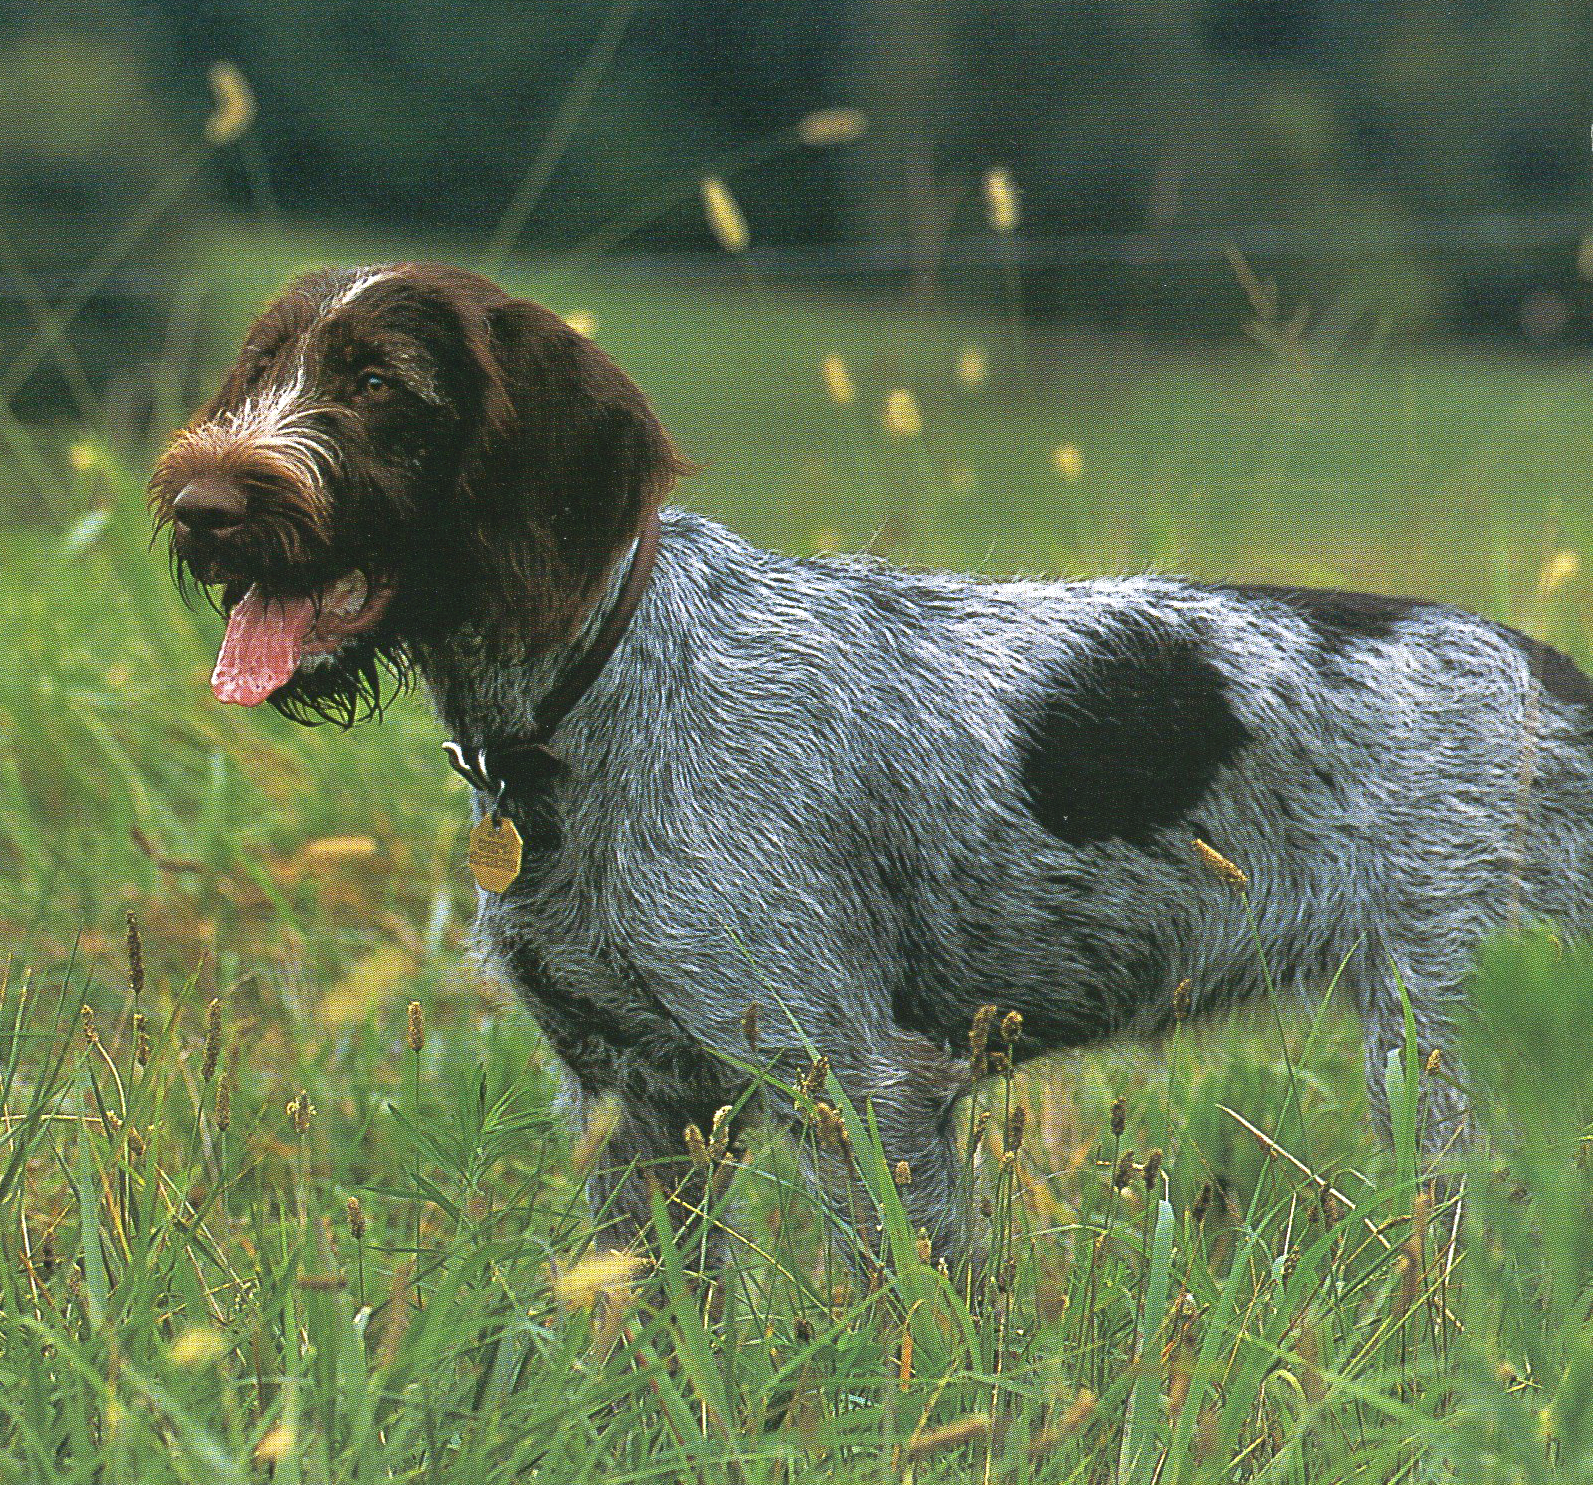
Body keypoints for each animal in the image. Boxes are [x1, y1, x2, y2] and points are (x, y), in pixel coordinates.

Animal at [149, 264, 1593, 1261]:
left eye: (380, 384)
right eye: (261, 364)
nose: (200, 506)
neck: (598, 688)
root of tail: (1557, 680)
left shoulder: (851, 1080)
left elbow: (905, 1316)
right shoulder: (638, 1105)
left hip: (1456, 1054)